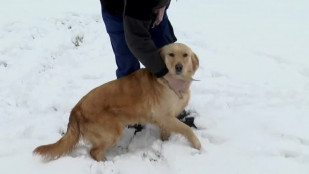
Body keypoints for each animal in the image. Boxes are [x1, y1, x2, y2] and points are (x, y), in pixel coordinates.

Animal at [33, 42, 201, 162]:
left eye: (185, 55)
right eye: (171, 54)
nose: (178, 67)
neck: (168, 82)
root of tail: (76, 109)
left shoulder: (165, 120)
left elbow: (166, 133)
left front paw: (165, 143)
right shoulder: (164, 117)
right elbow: (187, 129)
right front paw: (197, 144)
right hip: (113, 131)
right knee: (94, 151)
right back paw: (106, 163)